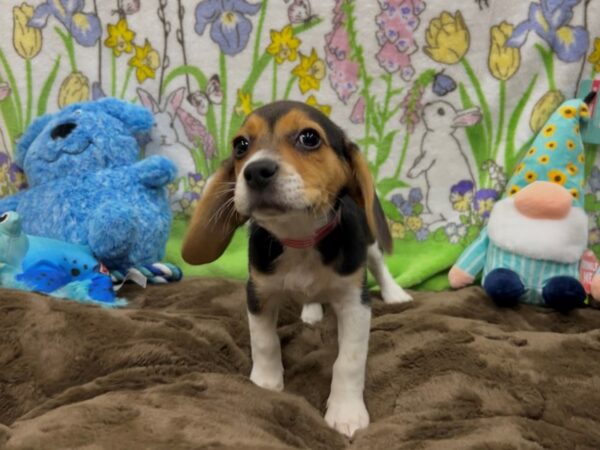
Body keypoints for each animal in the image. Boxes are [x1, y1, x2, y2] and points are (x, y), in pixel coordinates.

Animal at [183, 100, 412, 438]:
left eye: (309, 137)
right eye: (240, 145)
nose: (256, 171)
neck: (300, 237)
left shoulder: (355, 303)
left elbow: (349, 361)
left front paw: (346, 412)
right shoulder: (258, 293)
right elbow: (264, 342)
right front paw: (266, 383)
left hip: (370, 243)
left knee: (380, 265)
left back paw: (395, 293)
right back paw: (311, 312)